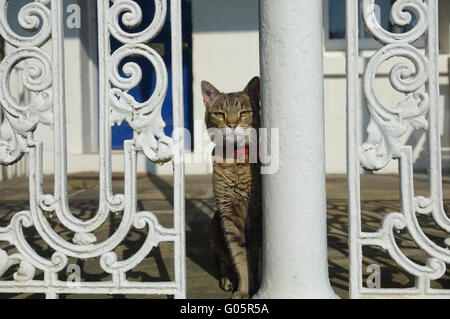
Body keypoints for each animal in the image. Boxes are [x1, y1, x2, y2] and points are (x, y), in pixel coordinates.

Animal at [201, 77, 262, 300]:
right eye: (220, 114)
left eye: (244, 112)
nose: (232, 125)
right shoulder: (229, 213)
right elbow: (239, 257)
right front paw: (243, 289)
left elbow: (259, 257)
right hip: (215, 227)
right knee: (223, 264)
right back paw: (228, 279)